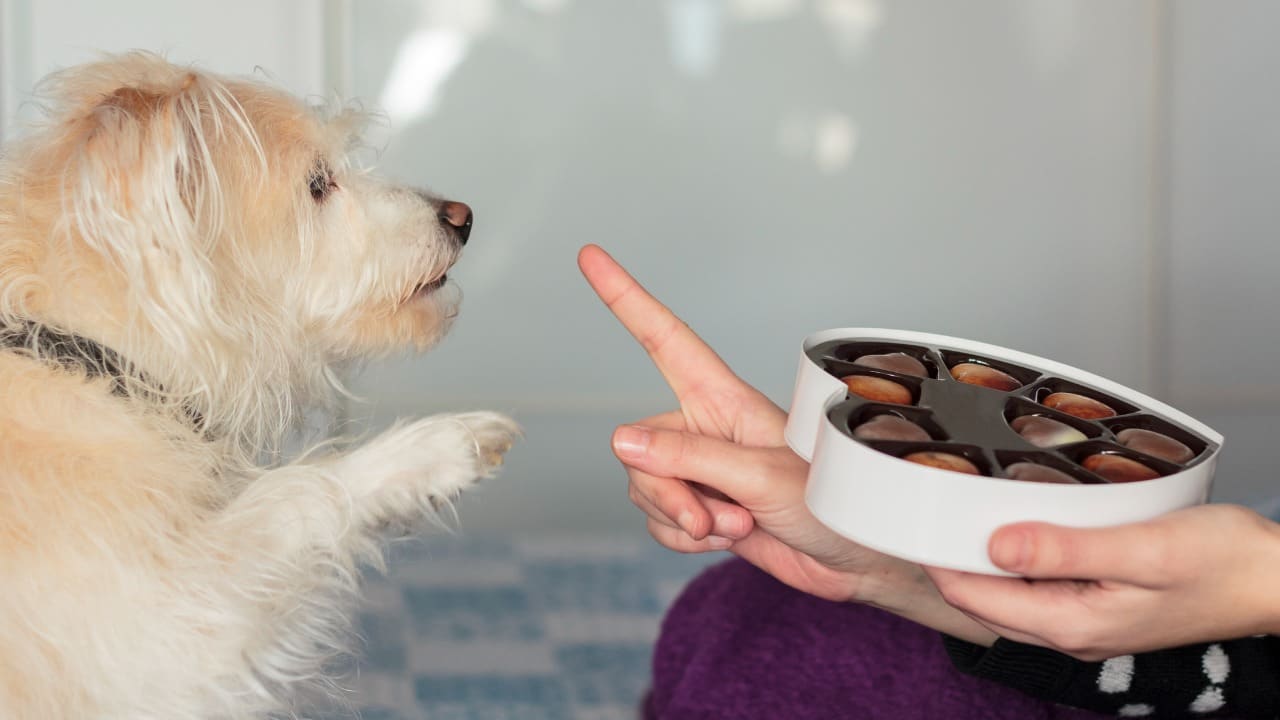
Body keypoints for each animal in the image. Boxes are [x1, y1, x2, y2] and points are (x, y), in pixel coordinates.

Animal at [1, 53, 519, 712]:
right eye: (318, 184)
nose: (463, 217)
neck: (86, 351)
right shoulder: (163, 635)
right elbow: (294, 494)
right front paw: (433, 449)